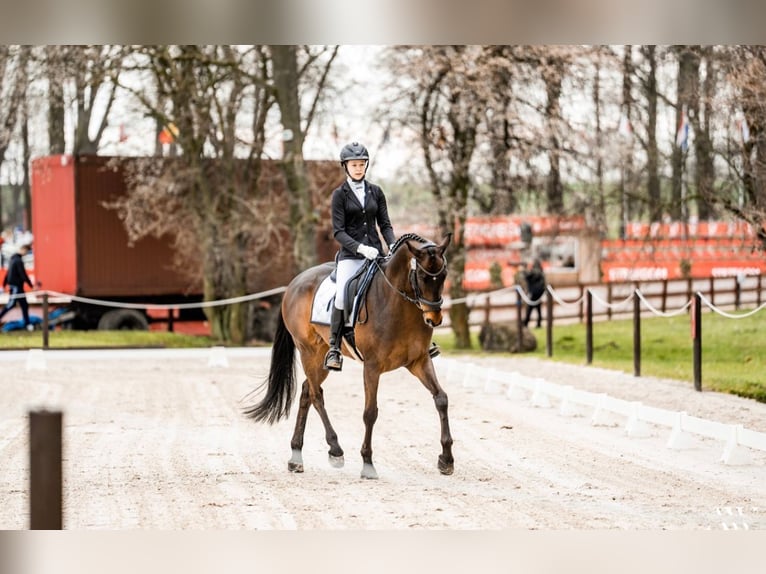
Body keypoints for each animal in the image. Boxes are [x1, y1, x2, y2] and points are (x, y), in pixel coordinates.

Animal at [243, 234, 452, 482]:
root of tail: (295, 283)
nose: (434, 319)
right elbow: (370, 413)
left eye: (444, 275)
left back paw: (296, 457)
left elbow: (441, 399)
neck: (398, 304)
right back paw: (335, 450)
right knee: (316, 396)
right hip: (308, 352)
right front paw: (367, 463)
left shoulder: (419, 361)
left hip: (322, 357)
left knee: (306, 391)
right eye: (421, 276)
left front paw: (446, 459)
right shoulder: (372, 367)